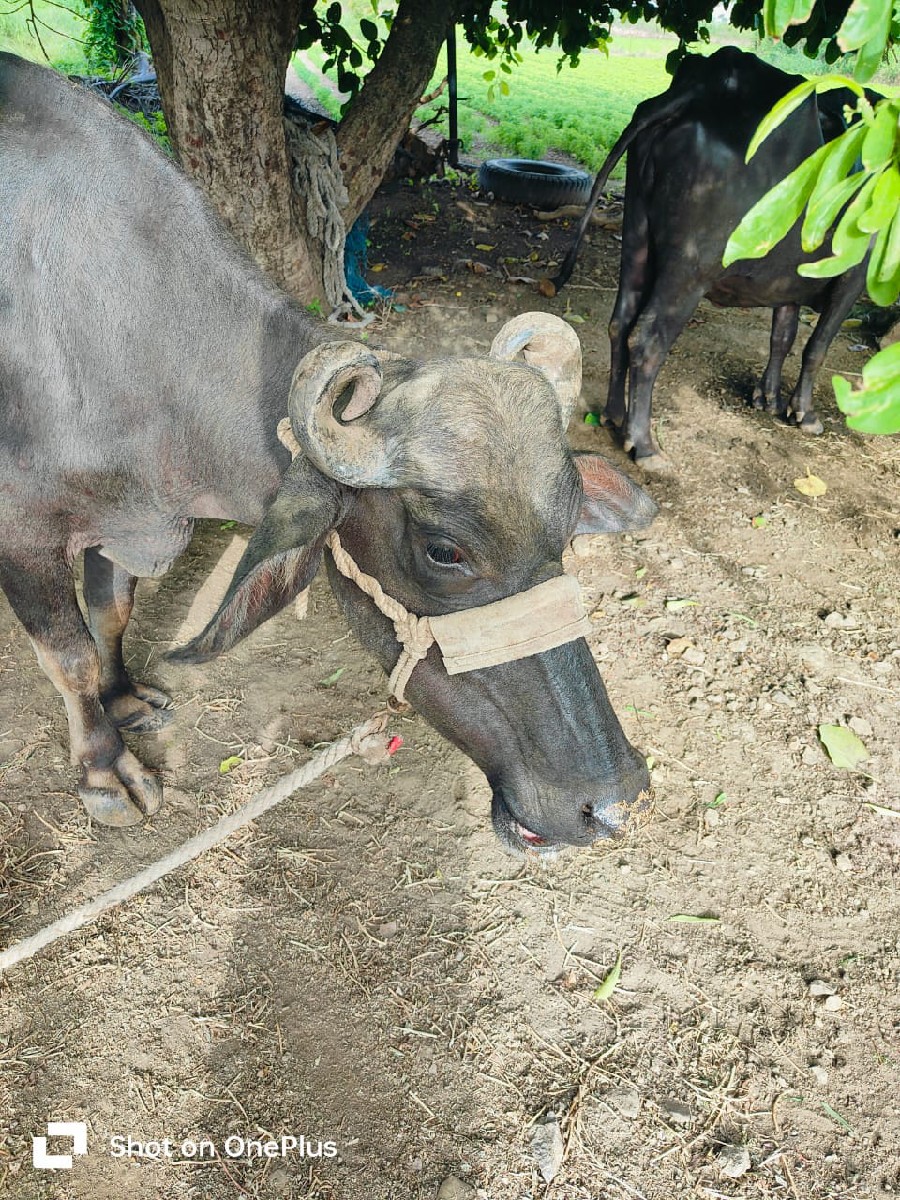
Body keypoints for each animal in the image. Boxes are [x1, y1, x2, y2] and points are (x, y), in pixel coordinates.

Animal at [0, 52, 657, 855]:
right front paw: (104, 770)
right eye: (444, 551)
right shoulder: (24, 535)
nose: (611, 800)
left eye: (565, 534)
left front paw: (124, 697)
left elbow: (113, 610)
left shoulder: (124, 520)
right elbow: (69, 656)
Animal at [551, 47, 869, 470]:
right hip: (689, 269)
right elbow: (816, 347)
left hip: (637, 239)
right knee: (646, 339)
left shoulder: (787, 281)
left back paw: (614, 416)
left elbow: (782, 336)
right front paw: (806, 415)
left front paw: (767, 399)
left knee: (620, 323)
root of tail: (699, 90)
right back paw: (644, 444)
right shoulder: (853, 276)